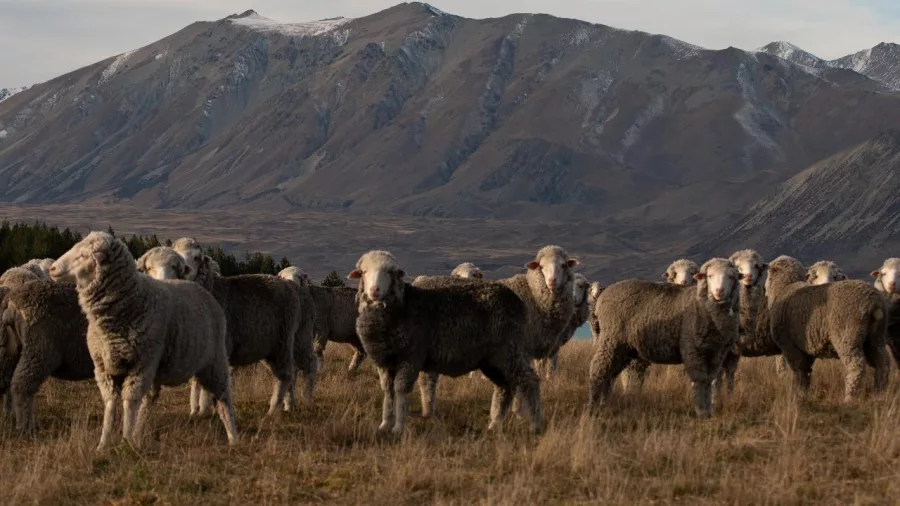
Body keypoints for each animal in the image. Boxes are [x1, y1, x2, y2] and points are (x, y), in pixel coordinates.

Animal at [48, 231, 237, 449]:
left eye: (83, 256)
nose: (52, 268)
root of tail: (197, 287)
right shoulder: (104, 367)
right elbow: (111, 404)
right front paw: (103, 444)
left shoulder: (141, 364)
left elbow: (129, 402)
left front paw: (125, 441)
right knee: (151, 400)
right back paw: (140, 432)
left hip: (214, 359)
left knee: (223, 396)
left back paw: (233, 436)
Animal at [171, 238, 301, 416]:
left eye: (197, 258)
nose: (185, 270)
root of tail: (288, 284)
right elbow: (197, 382)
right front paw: (195, 410)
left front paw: (204, 411)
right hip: (269, 346)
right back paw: (288, 405)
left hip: (282, 341)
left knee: (285, 375)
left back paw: (273, 409)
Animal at [349, 250, 540, 435]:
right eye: (363, 272)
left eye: (390, 272)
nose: (374, 290)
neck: (402, 306)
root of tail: (516, 300)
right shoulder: (384, 361)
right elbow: (388, 391)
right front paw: (384, 425)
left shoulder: (411, 357)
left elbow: (400, 389)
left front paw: (398, 427)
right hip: (492, 359)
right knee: (504, 387)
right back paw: (495, 424)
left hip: (508, 350)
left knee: (529, 381)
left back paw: (535, 425)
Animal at [588, 258, 741, 417]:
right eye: (709, 276)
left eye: (731, 277)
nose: (719, 291)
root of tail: (603, 297)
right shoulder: (693, 349)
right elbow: (700, 380)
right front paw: (701, 411)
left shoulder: (717, 353)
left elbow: (709, 380)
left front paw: (708, 411)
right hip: (611, 339)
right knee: (599, 369)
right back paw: (593, 406)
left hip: (624, 348)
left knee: (611, 373)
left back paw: (604, 403)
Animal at [766, 255, 889, 401]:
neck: (785, 287)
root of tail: (874, 302)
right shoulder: (805, 347)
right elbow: (806, 372)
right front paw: (804, 393)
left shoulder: (789, 345)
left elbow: (798, 371)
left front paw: (798, 394)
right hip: (876, 336)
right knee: (883, 363)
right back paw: (879, 393)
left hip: (847, 335)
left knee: (856, 366)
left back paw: (849, 398)